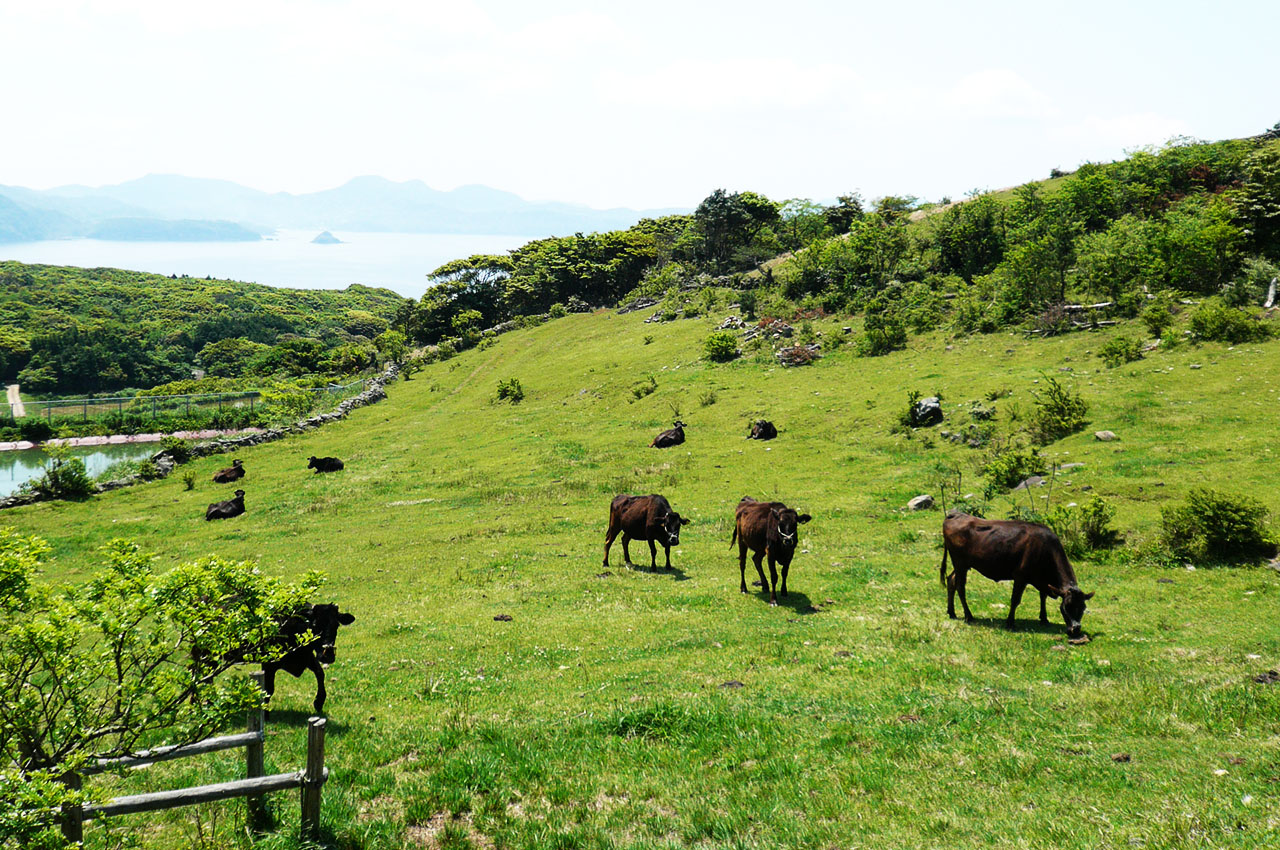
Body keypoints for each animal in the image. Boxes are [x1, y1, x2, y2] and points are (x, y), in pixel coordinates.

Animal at [936, 512, 1095, 637]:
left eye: (1083, 608)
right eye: (1066, 607)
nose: (1075, 629)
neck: (1045, 549)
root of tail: (955, 514)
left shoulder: (1042, 580)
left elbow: (1042, 597)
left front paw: (1044, 619)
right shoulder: (1020, 577)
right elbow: (1015, 600)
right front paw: (1010, 623)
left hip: (962, 565)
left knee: (951, 581)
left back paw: (952, 612)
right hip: (960, 563)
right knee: (960, 587)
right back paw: (968, 616)